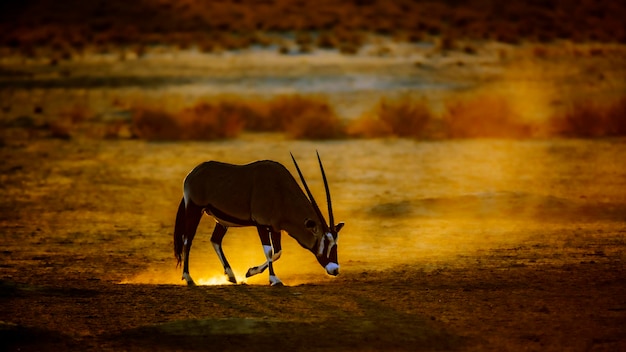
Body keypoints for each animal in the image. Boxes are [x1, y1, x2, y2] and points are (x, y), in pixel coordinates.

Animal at [173, 152, 344, 286]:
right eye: (325, 242)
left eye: (336, 244)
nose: (335, 269)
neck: (281, 191)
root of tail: (192, 174)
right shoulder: (261, 224)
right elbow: (269, 251)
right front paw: (274, 279)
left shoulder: (275, 227)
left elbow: (278, 252)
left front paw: (250, 272)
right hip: (194, 209)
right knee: (188, 240)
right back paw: (188, 278)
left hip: (221, 221)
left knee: (215, 240)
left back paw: (231, 275)